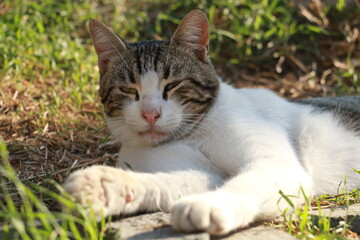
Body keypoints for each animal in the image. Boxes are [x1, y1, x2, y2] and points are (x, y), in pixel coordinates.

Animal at [64, 10, 360, 235]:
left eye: (172, 85)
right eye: (128, 90)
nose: (151, 114)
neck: (192, 134)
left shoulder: (277, 165)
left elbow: (244, 183)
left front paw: (210, 206)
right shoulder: (203, 174)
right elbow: (167, 183)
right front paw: (106, 188)